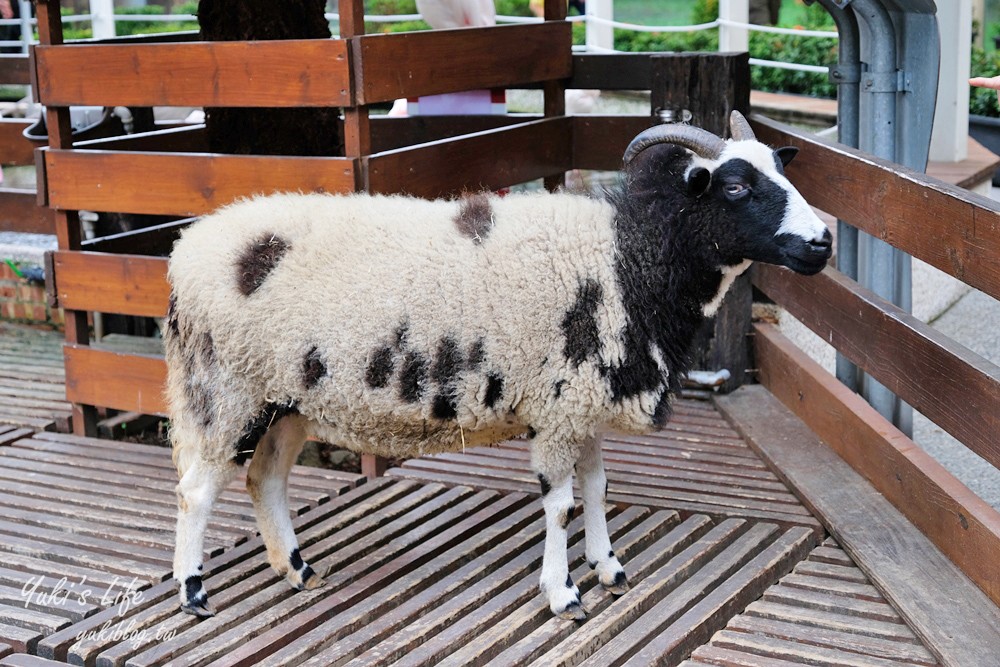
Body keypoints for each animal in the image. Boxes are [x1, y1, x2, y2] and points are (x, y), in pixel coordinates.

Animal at [168, 113, 832, 620]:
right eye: (736, 187)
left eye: (782, 170)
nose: (822, 243)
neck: (627, 259)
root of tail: (188, 248)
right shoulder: (560, 403)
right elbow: (560, 505)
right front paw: (564, 595)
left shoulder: (583, 400)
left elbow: (597, 487)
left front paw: (609, 568)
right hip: (224, 387)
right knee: (197, 489)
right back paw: (194, 594)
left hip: (283, 397)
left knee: (266, 478)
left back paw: (299, 569)